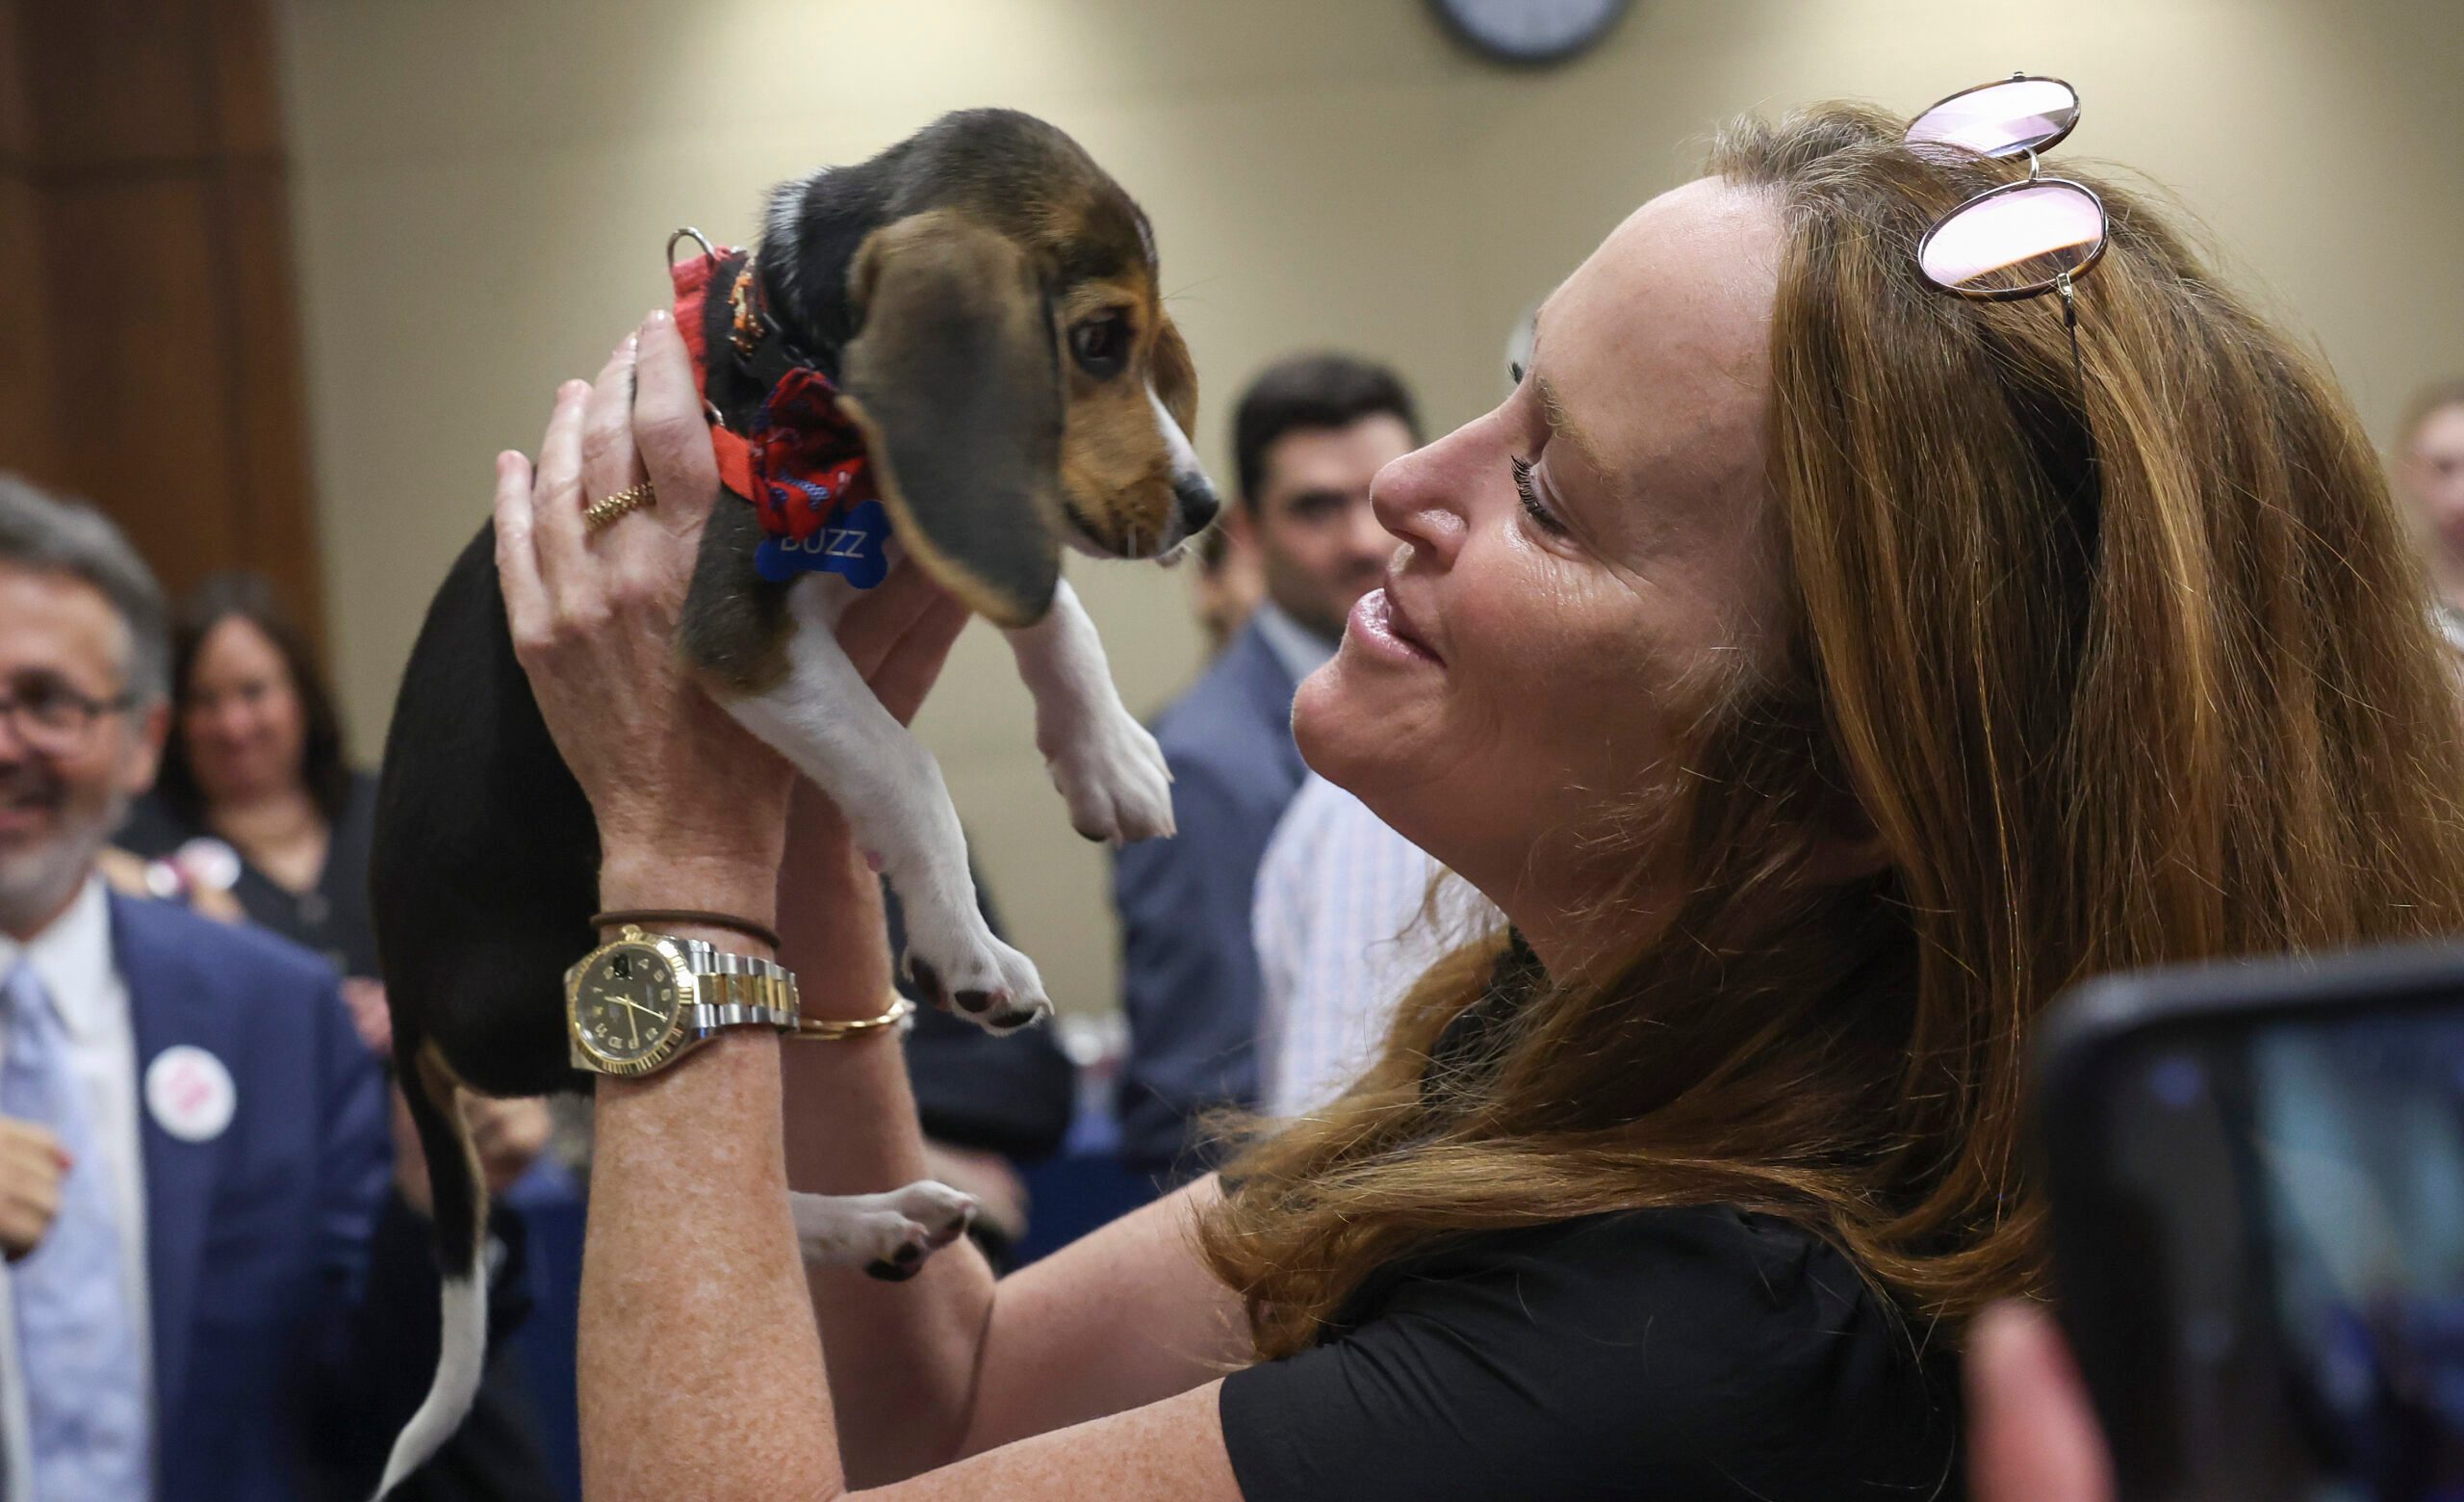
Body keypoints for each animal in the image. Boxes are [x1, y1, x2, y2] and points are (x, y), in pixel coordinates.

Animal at [364, 111, 1212, 1489]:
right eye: (1097, 341)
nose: (1204, 504)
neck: (798, 368)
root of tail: (395, 985)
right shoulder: (740, 636)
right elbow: (910, 768)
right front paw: (967, 950)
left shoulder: (933, 521)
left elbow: (1049, 609)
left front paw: (1107, 753)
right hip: (558, 989)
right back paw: (866, 1218)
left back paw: (875, 1222)